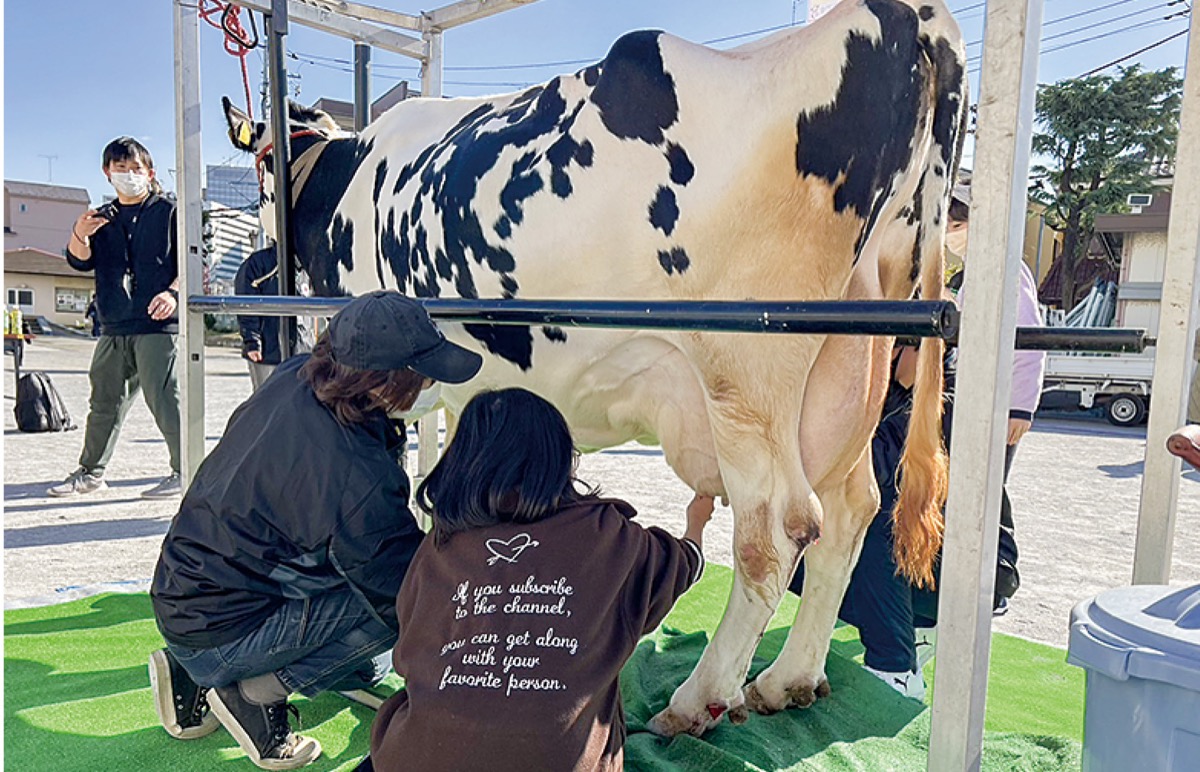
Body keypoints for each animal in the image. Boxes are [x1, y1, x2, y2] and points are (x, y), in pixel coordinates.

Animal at [225, 0, 969, 734]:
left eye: (262, 165)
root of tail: (906, 15)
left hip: (746, 371)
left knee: (777, 533)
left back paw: (700, 698)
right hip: (856, 363)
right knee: (851, 513)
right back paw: (787, 680)